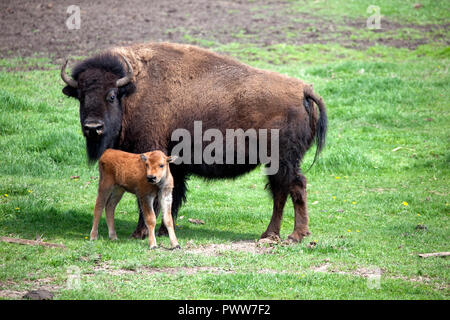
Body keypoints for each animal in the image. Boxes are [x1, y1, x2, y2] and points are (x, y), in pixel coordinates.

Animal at [60, 42, 326, 242]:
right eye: (81, 96)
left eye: (112, 96)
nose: (93, 127)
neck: (133, 91)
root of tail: (303, 90)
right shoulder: (172, 165)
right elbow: (171, 197)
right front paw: (163, 230)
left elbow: (150, 198)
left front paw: (141, 233)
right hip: (279, 163)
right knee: (285, 190)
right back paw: (278, 234)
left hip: (282, 161)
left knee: (292, 187)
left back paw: (291, 235)